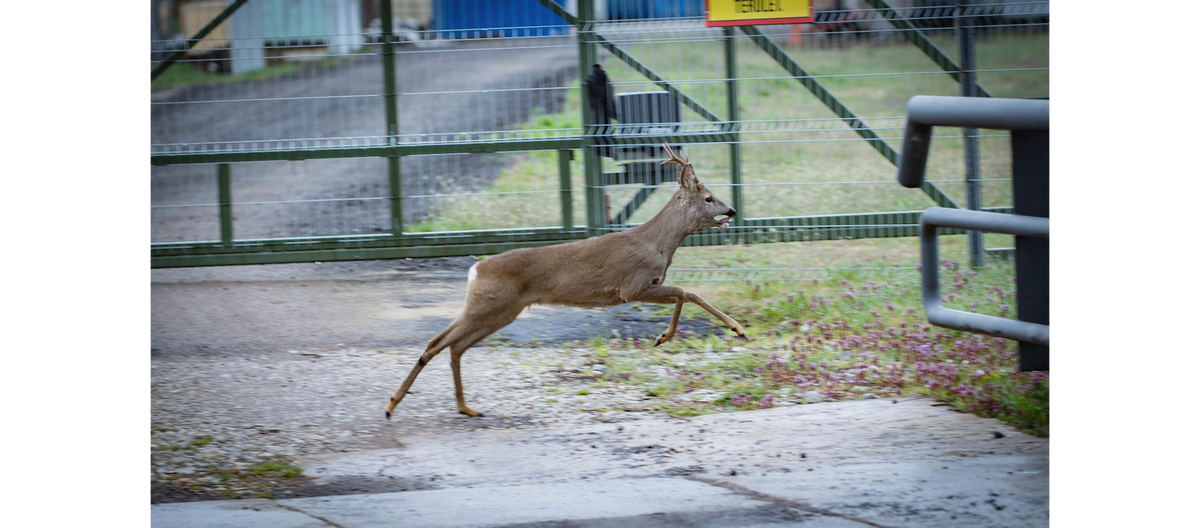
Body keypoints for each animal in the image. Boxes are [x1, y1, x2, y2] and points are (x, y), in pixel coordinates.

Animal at [384, 142, 744, 417]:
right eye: (709, 198)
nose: (731, 211)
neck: (658, 244)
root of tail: (477, 270)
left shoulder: (644, 286)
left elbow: (686, 294)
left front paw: (680, 334)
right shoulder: (633, 285)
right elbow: (687, 292)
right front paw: (715, 330)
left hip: (502, 310)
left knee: (453, 346)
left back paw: (463, 408)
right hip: (488, 304)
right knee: (439, 343)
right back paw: (392, 404)